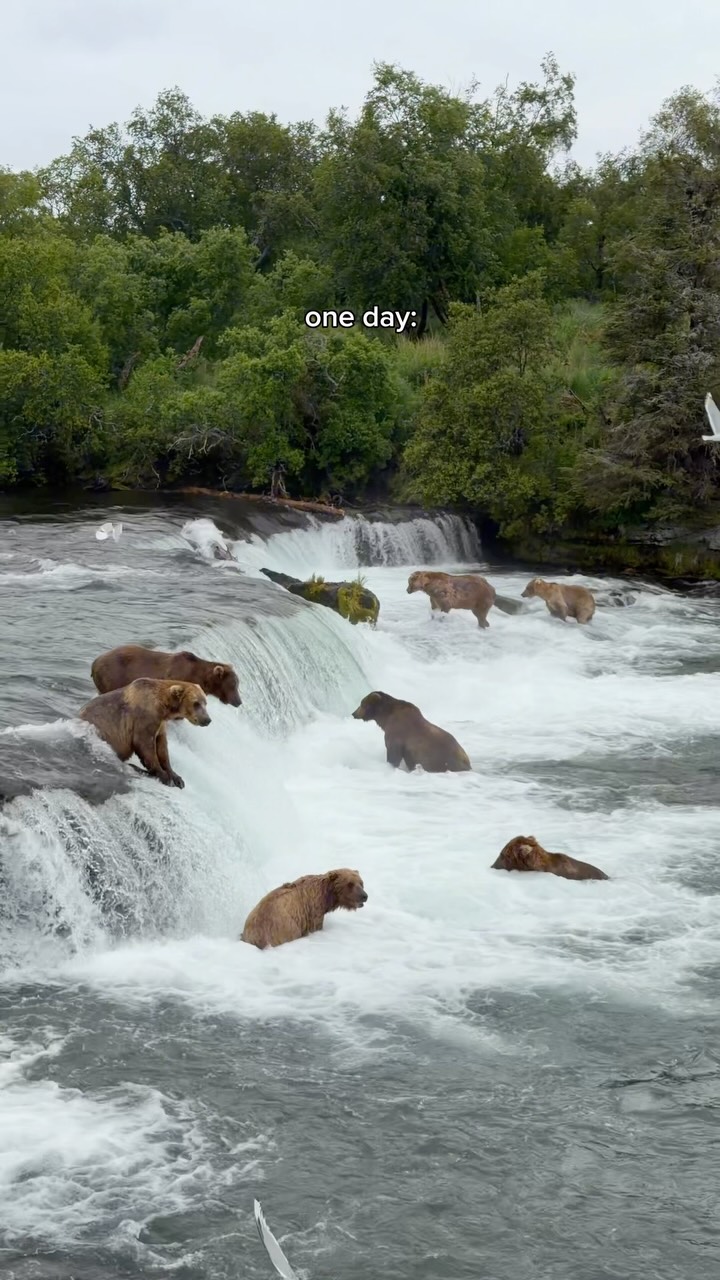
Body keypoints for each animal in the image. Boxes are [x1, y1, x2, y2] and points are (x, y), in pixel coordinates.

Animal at [78, 678, 211, 788]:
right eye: (196, 703)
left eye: (205, 703)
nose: (207, 720)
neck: (163, 707)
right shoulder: (144, 717)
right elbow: (144, 745)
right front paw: (165, 777)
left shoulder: (160, 725)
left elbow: (162, 748)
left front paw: (177, 778)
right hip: (105, 732)